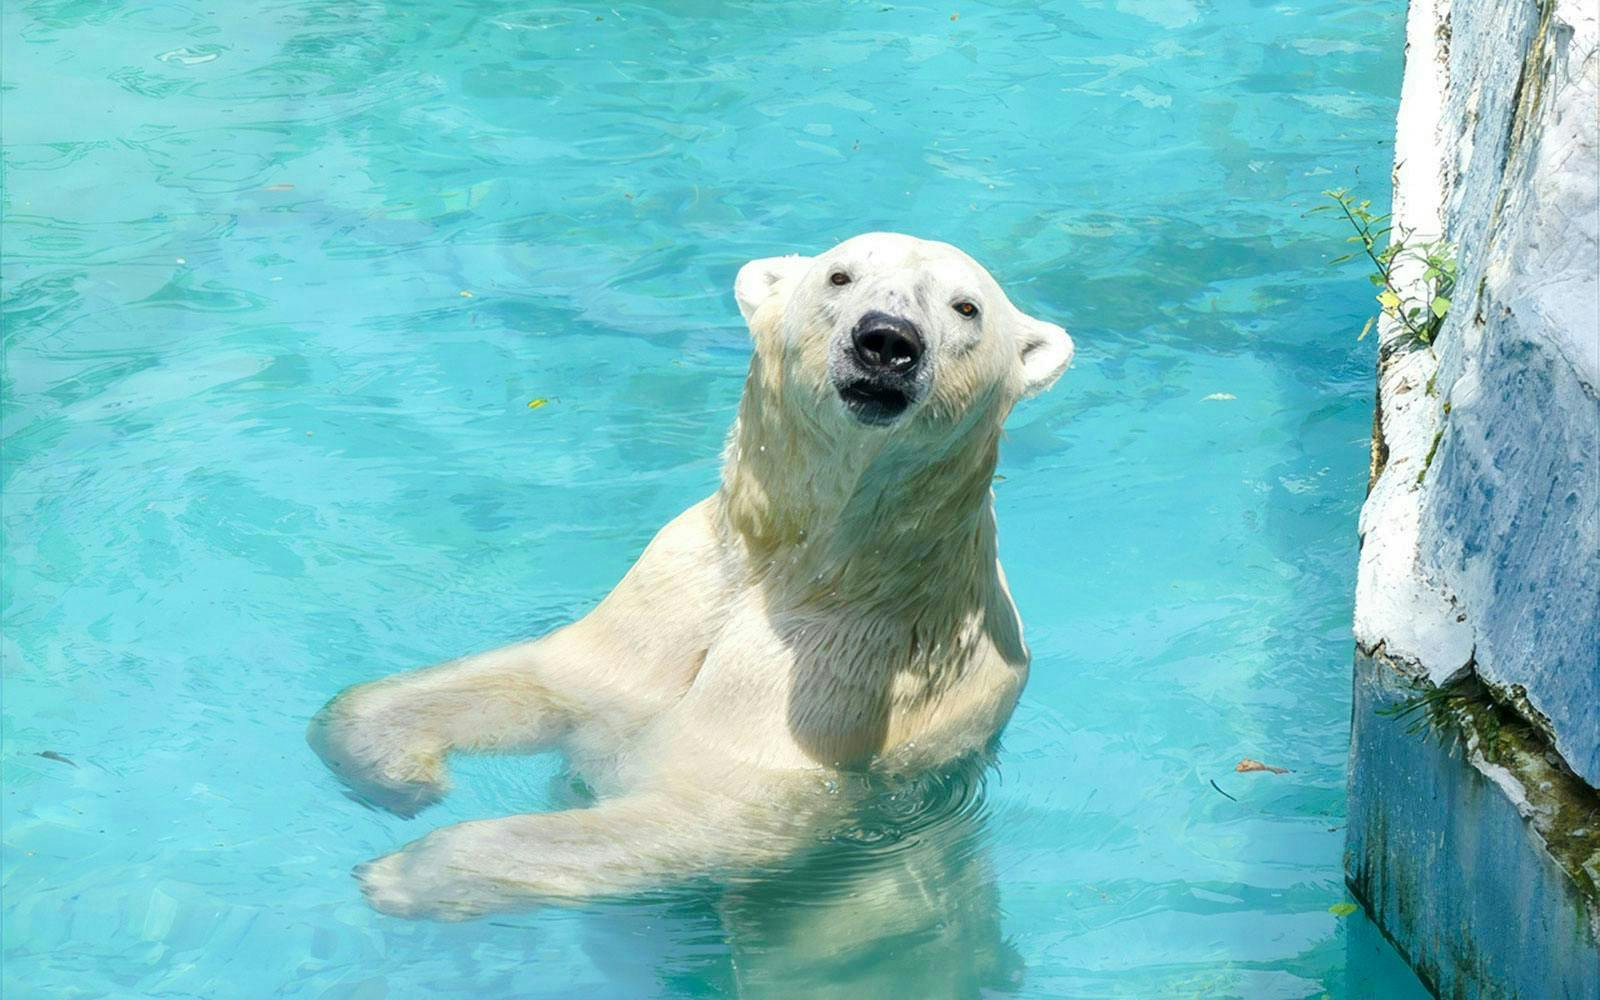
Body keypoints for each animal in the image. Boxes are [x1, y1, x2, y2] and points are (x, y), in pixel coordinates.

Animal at [307, 231, 1074, 920]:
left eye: (967, 307)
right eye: (840, 276)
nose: (887, 341)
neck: (800, 566)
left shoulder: (835, 681)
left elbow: (705, 814)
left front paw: (404, 873)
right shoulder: (671, 595)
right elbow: (550, 679)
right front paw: (401, 774)